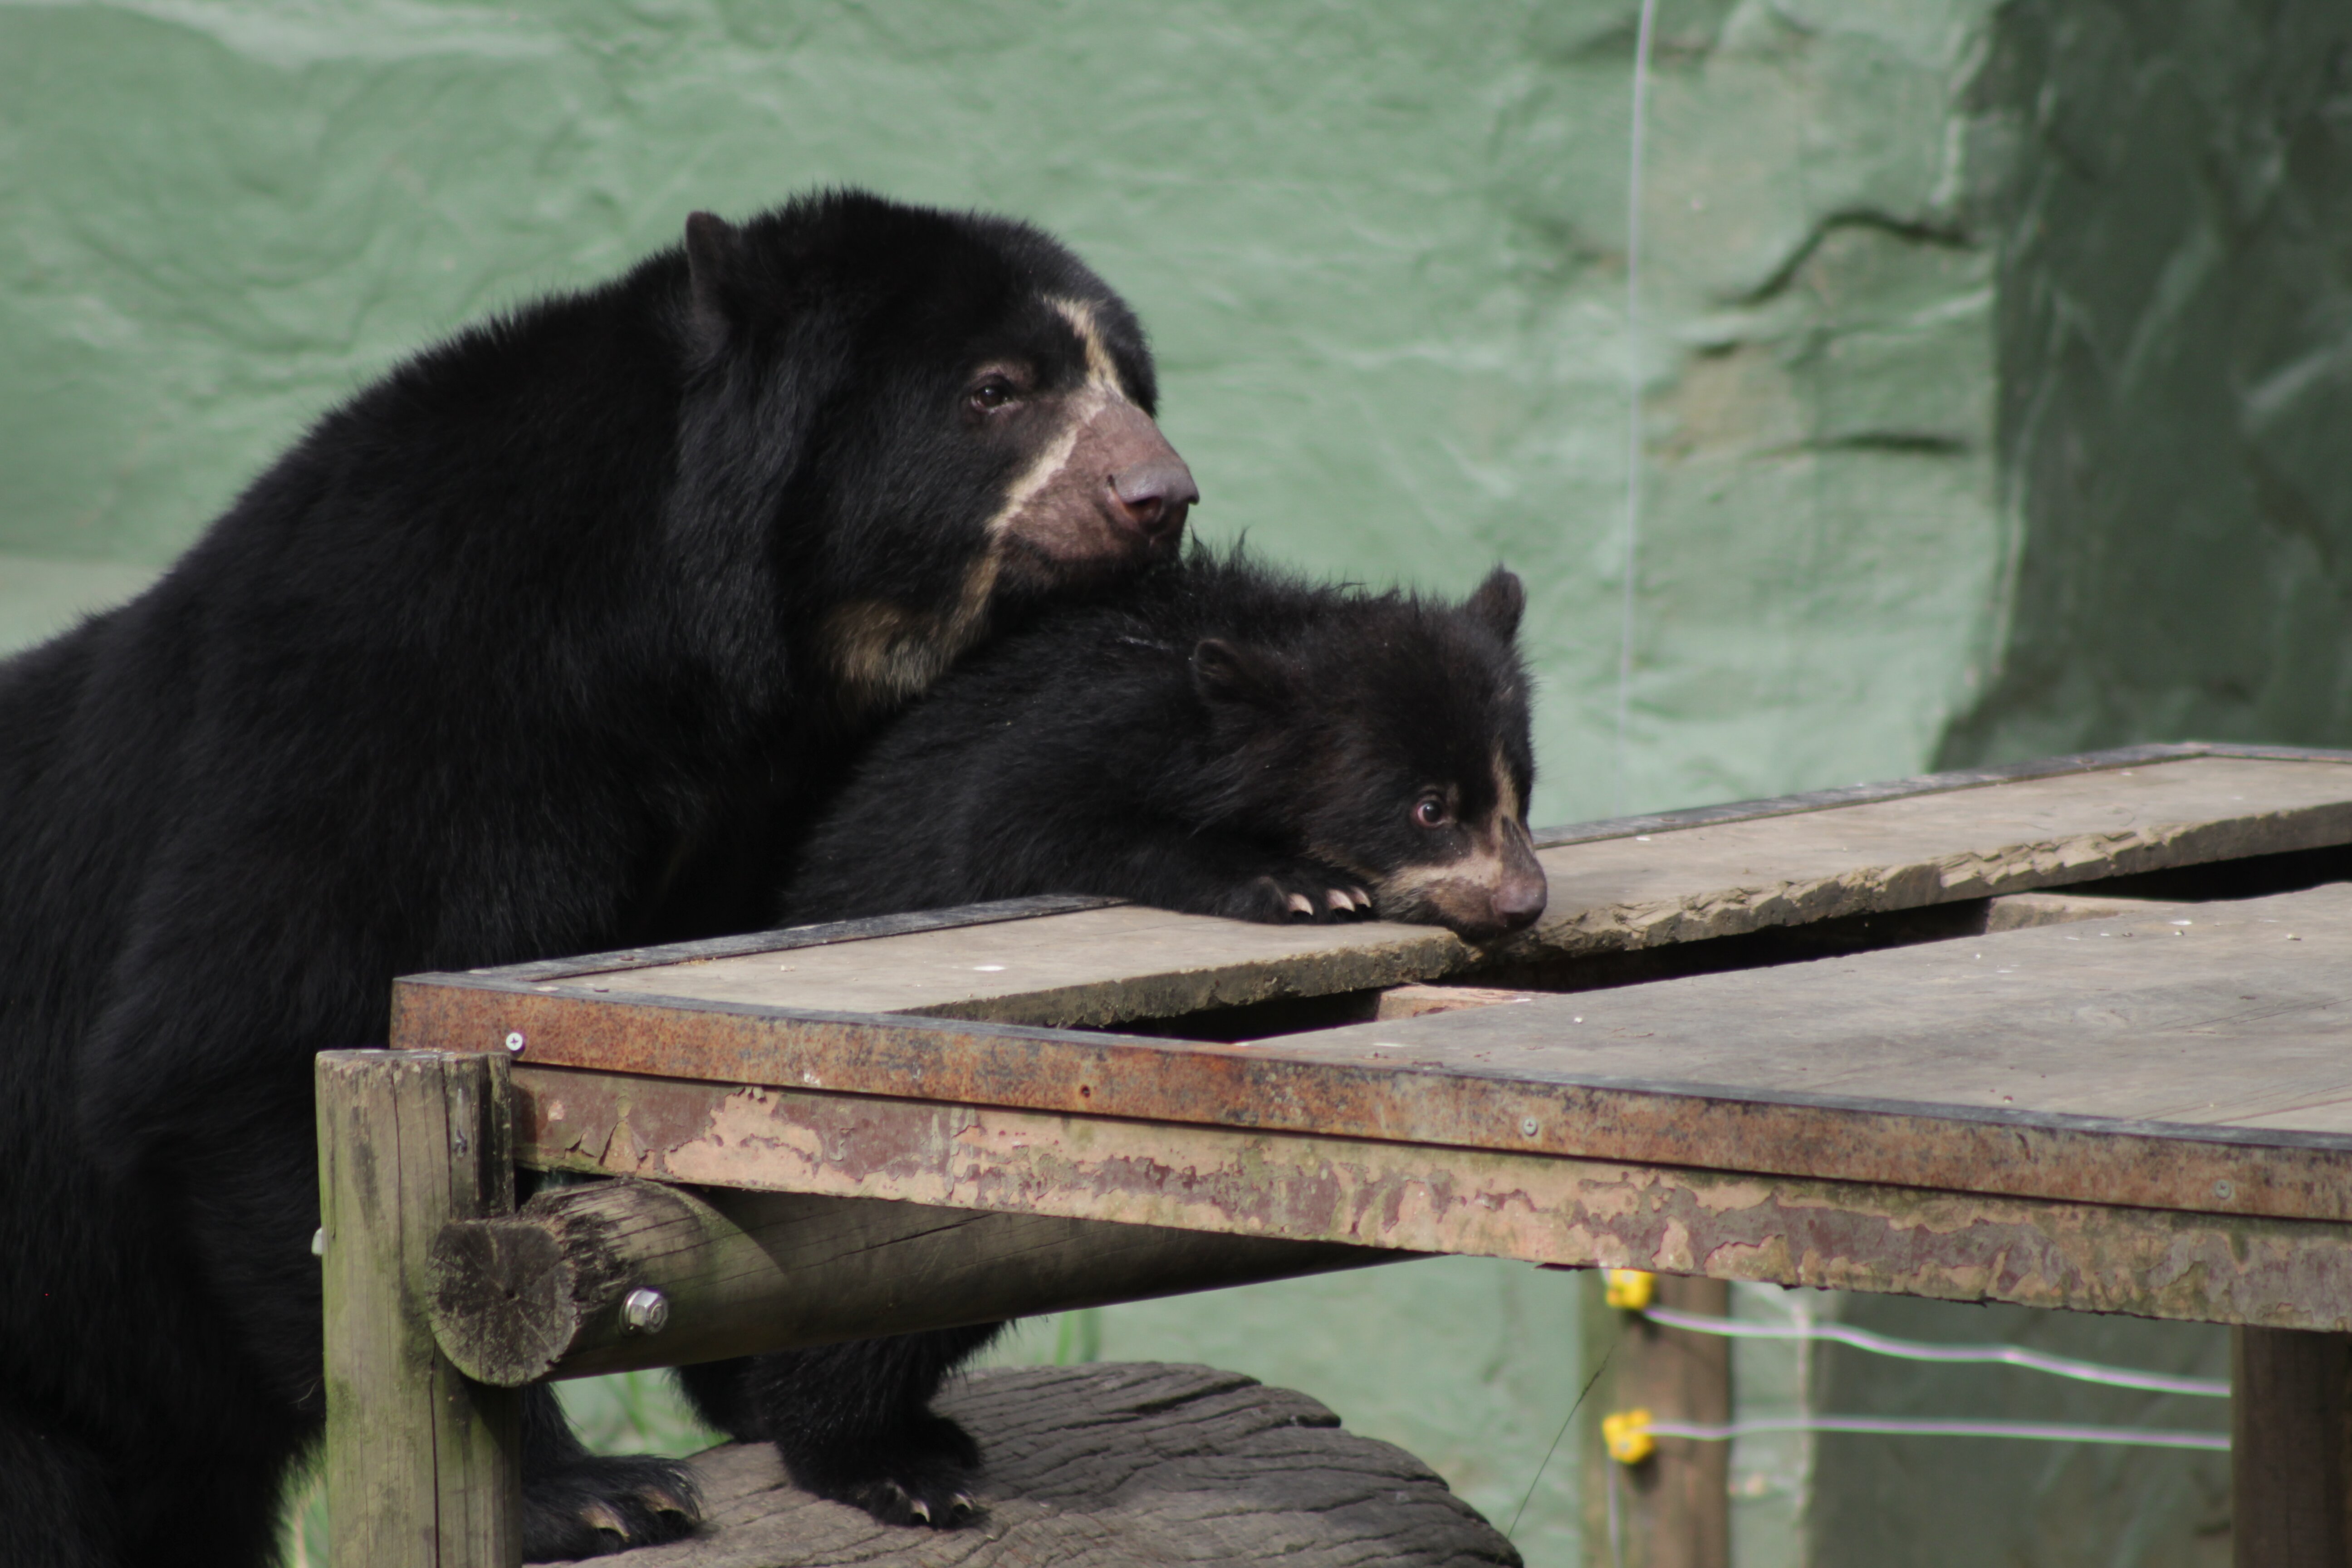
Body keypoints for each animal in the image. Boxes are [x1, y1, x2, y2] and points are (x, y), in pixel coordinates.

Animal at [0, 190, 1204, 1561]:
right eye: (997, 390)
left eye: (1131, 382)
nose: (1159, 495)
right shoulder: (392, 675)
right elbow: (250, 1043)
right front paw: (590, 1490)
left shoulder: (778, 796)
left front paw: (881, 1440)